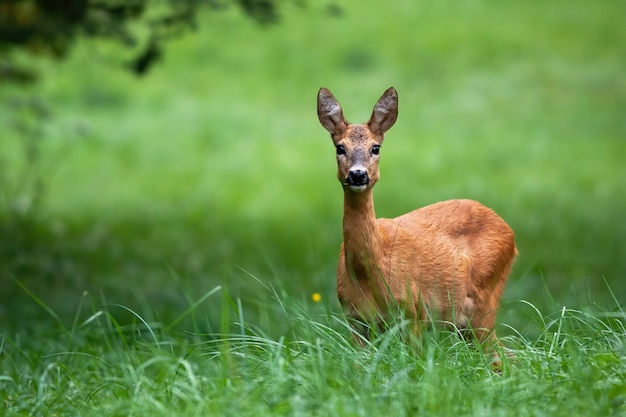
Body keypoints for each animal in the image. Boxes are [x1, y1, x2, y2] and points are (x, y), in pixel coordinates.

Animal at [314, 86, 516, 352]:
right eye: (340, 147)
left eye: (375, 147)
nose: (358, 175)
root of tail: (511, 233)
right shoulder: (354, 318)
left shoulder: (413, 311)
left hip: (484, 301)